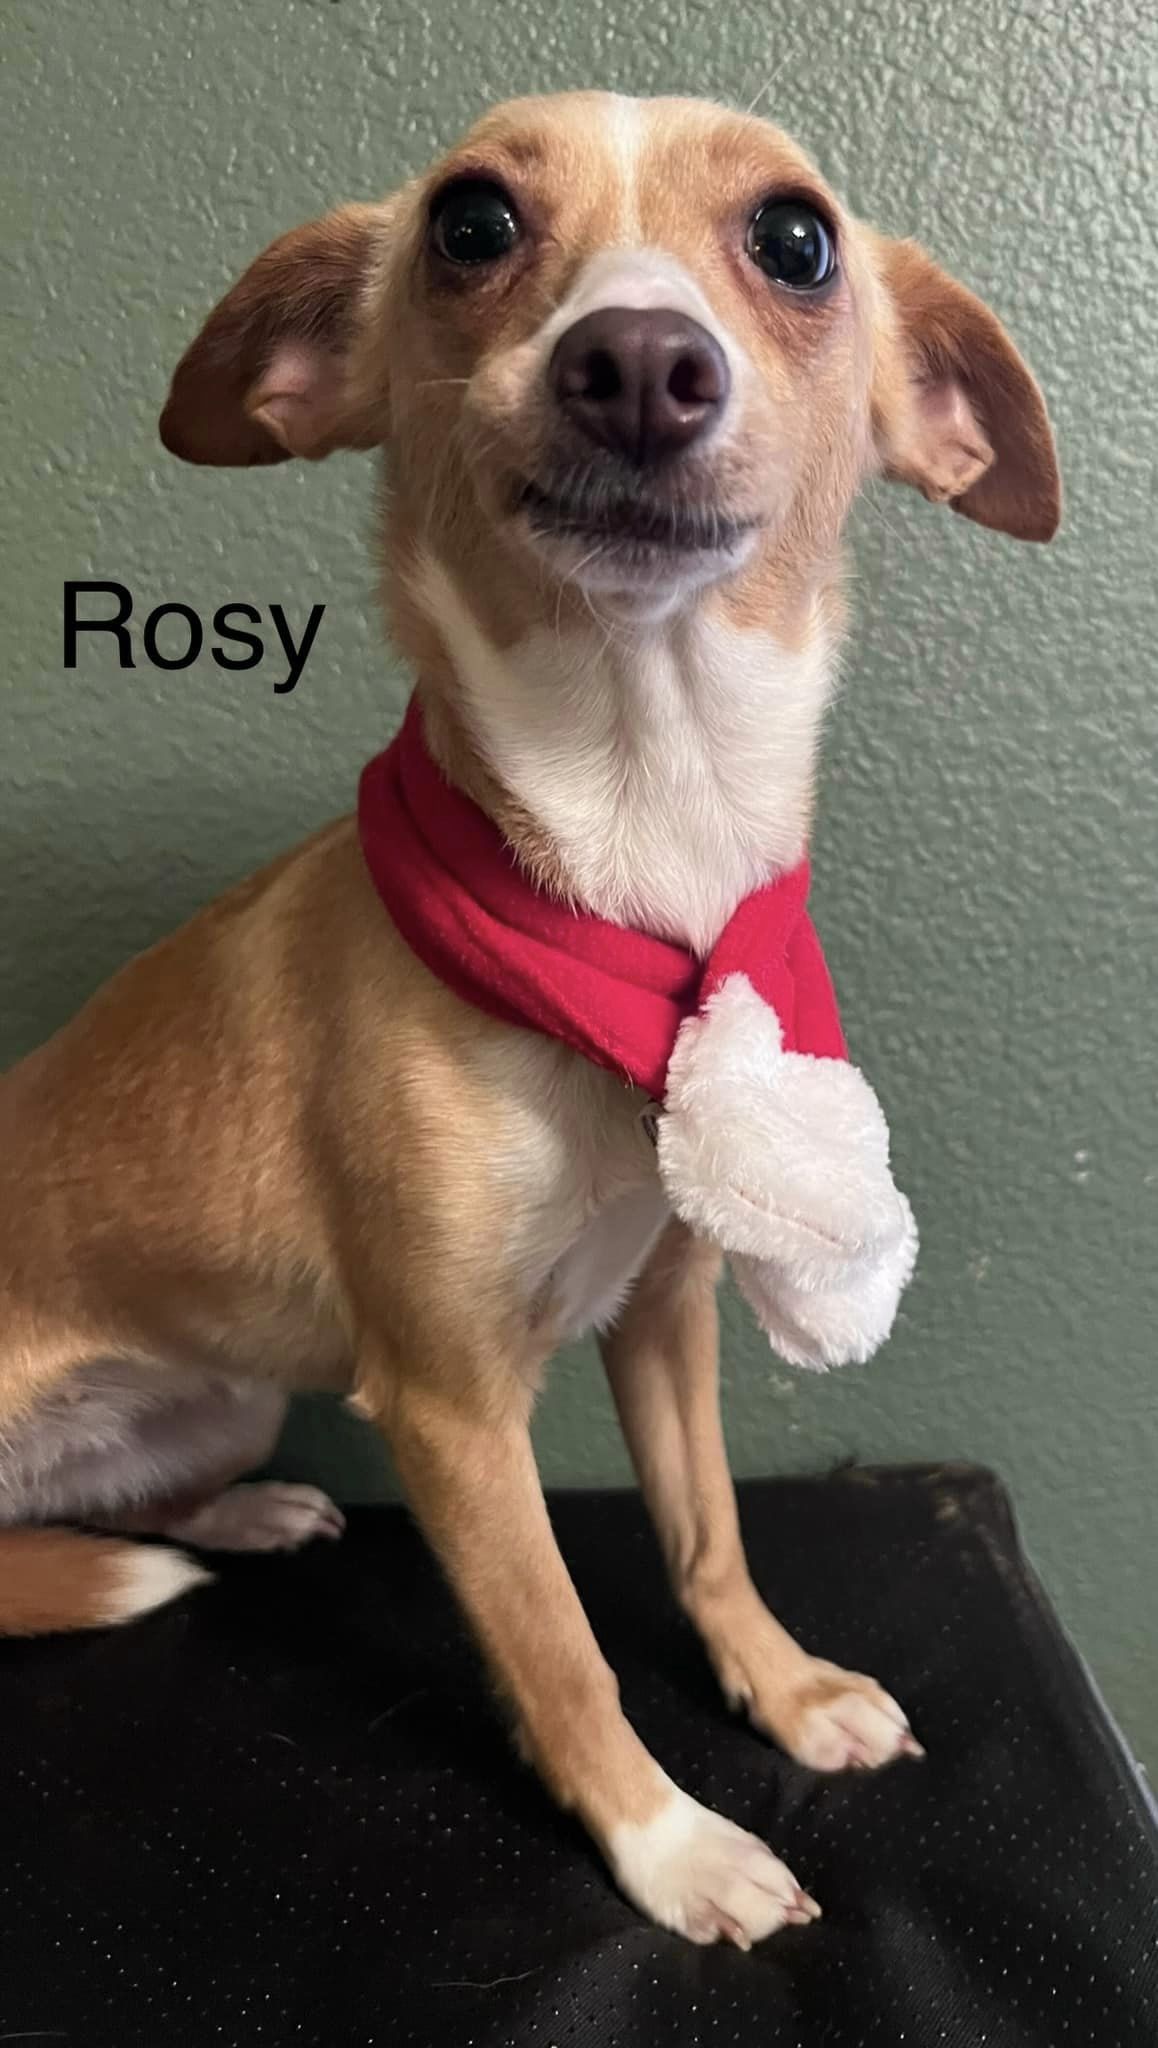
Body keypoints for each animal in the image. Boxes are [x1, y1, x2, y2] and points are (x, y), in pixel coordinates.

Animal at [0, 96, 1057, 1941]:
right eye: (471, 224)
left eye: (795, 240)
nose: (634, 361)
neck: (634, 859)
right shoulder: (449, 1408)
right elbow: (561, 1651)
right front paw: (673, 1843)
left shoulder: (666, 1309)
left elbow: (708, 1533)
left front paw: (782, 1687)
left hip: (223, 1391)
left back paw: (244, 1517)